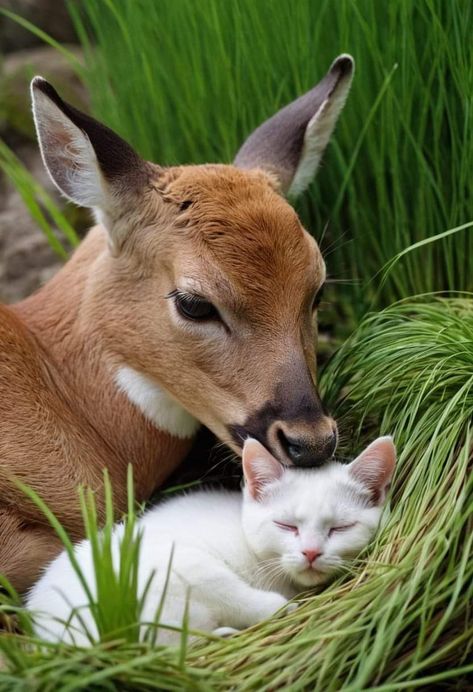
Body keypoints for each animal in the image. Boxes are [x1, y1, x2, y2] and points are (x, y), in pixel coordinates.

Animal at [25, 436, 394, 648]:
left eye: (341, 528)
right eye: (286, 525)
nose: (312, 552)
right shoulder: (184, 561)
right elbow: (244, 598)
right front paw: (283, 606)